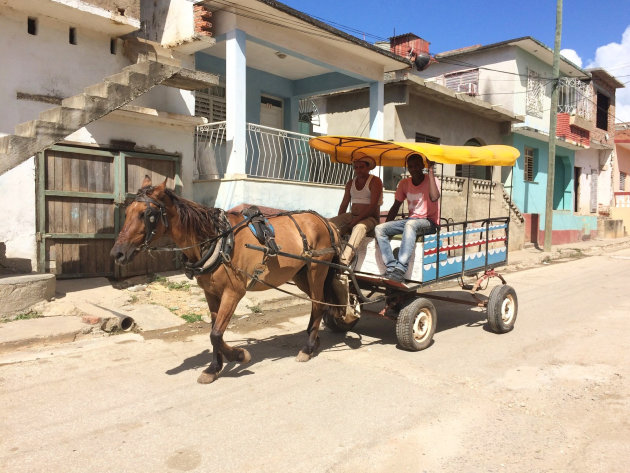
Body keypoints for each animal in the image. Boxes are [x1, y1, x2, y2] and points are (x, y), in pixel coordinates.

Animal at [110, 177, 346, 384]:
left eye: (147, 214)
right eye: (128, 212)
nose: (117, 254)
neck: (217, 240)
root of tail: (326, 222)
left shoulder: (234, 292)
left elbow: (216, 334)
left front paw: (239, 356)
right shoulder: (210, 293)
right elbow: (215, 331)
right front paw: (214, 368)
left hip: (317, 269)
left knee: (318, 303)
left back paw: (308, 348)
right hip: (300, 275)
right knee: (319, 302)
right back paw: (313, 339)